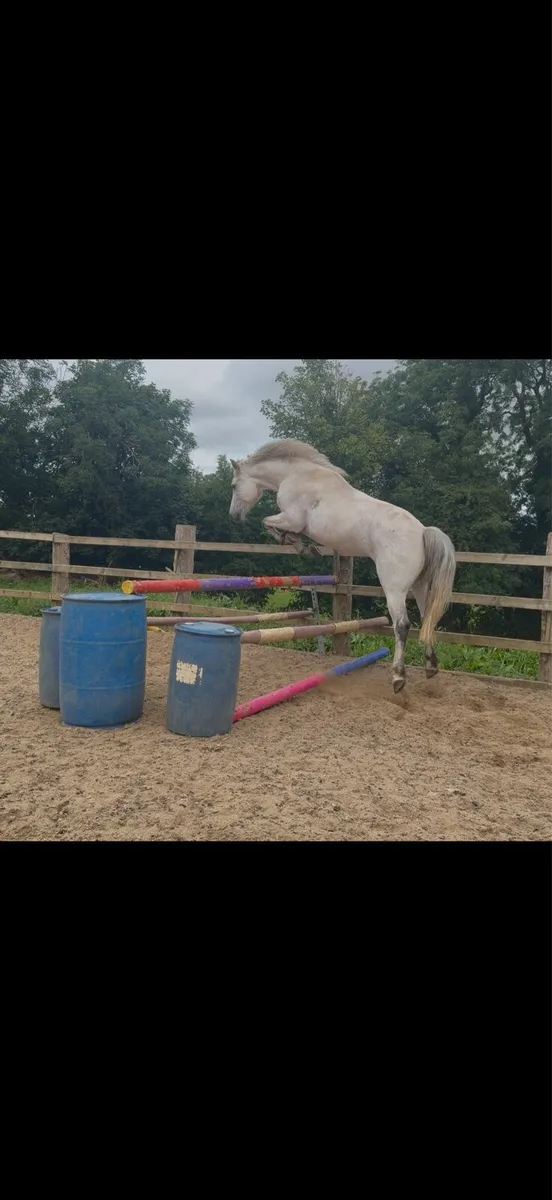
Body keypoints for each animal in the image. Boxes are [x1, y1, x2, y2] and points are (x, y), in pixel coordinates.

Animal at [229, 438, 456, 692]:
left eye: (234, 485)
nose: (234, 516)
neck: (295, 474)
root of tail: (423, 532)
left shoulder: (292, 518)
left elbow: (269, 523)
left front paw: (299, 545)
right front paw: (304, 546)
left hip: (395, 589)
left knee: (402, 625)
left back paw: (398, 677)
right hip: (420, 586)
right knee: (428, 618)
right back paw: (431, 667)